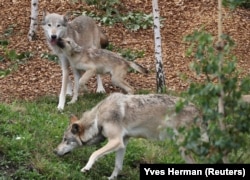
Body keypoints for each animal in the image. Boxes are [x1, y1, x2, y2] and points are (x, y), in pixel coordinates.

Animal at [53, 92, 205, 179]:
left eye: (65, 140)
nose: (54, 151)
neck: (98, 118)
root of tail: (198, 109)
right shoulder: (123, 143)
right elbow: (118, 166)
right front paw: (111, 178)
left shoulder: (116, 141)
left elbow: (94, 154)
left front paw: (86, 168)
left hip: (186, 147)